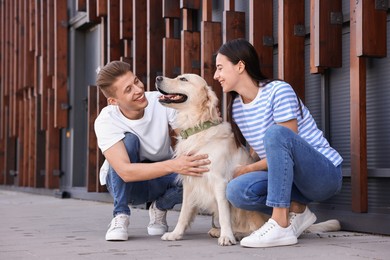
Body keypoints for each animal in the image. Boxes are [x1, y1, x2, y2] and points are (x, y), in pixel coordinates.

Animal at [154, 73, 340, 246]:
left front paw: (227, 237)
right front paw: (176, 234)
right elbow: (184, 212)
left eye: (183, 79)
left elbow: (224, 214)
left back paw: (239, 234)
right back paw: (219, 230)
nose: (157, 77)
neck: (198, 128)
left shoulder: (220, 181)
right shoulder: (190, 181)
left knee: (255, 225)